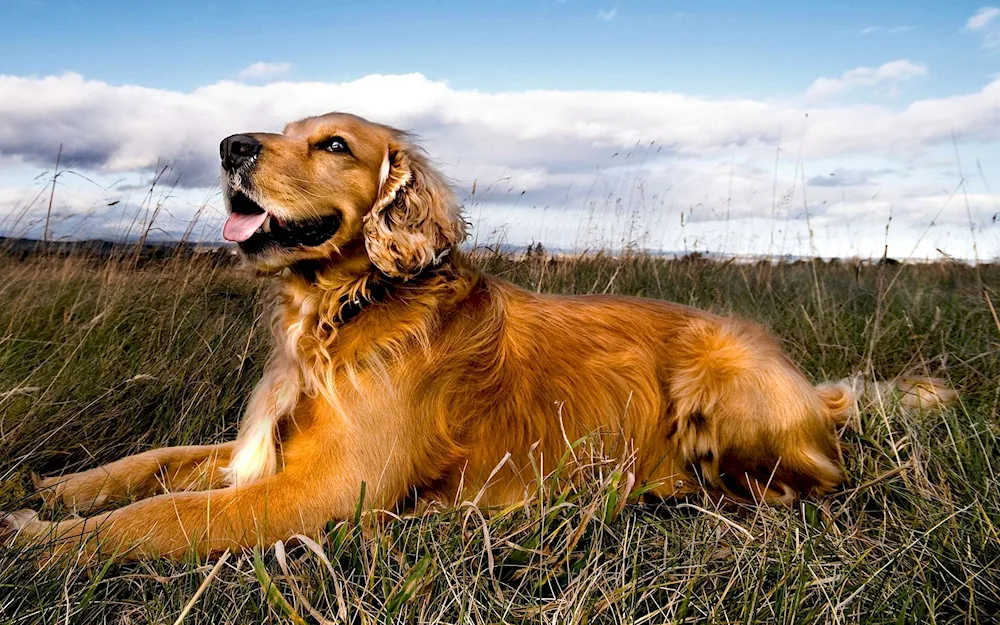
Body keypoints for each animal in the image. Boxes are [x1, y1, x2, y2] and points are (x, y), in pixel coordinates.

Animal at [1, 111, 952, 560]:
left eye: (335, 144)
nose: (230, 145)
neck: (342, 310)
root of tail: (810, 387)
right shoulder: (264, 450)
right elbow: (149, 465)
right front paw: (53, 487)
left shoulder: (325, 489)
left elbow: (156, 516)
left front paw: (41, 545)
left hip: (718, 381)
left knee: (806, 485)